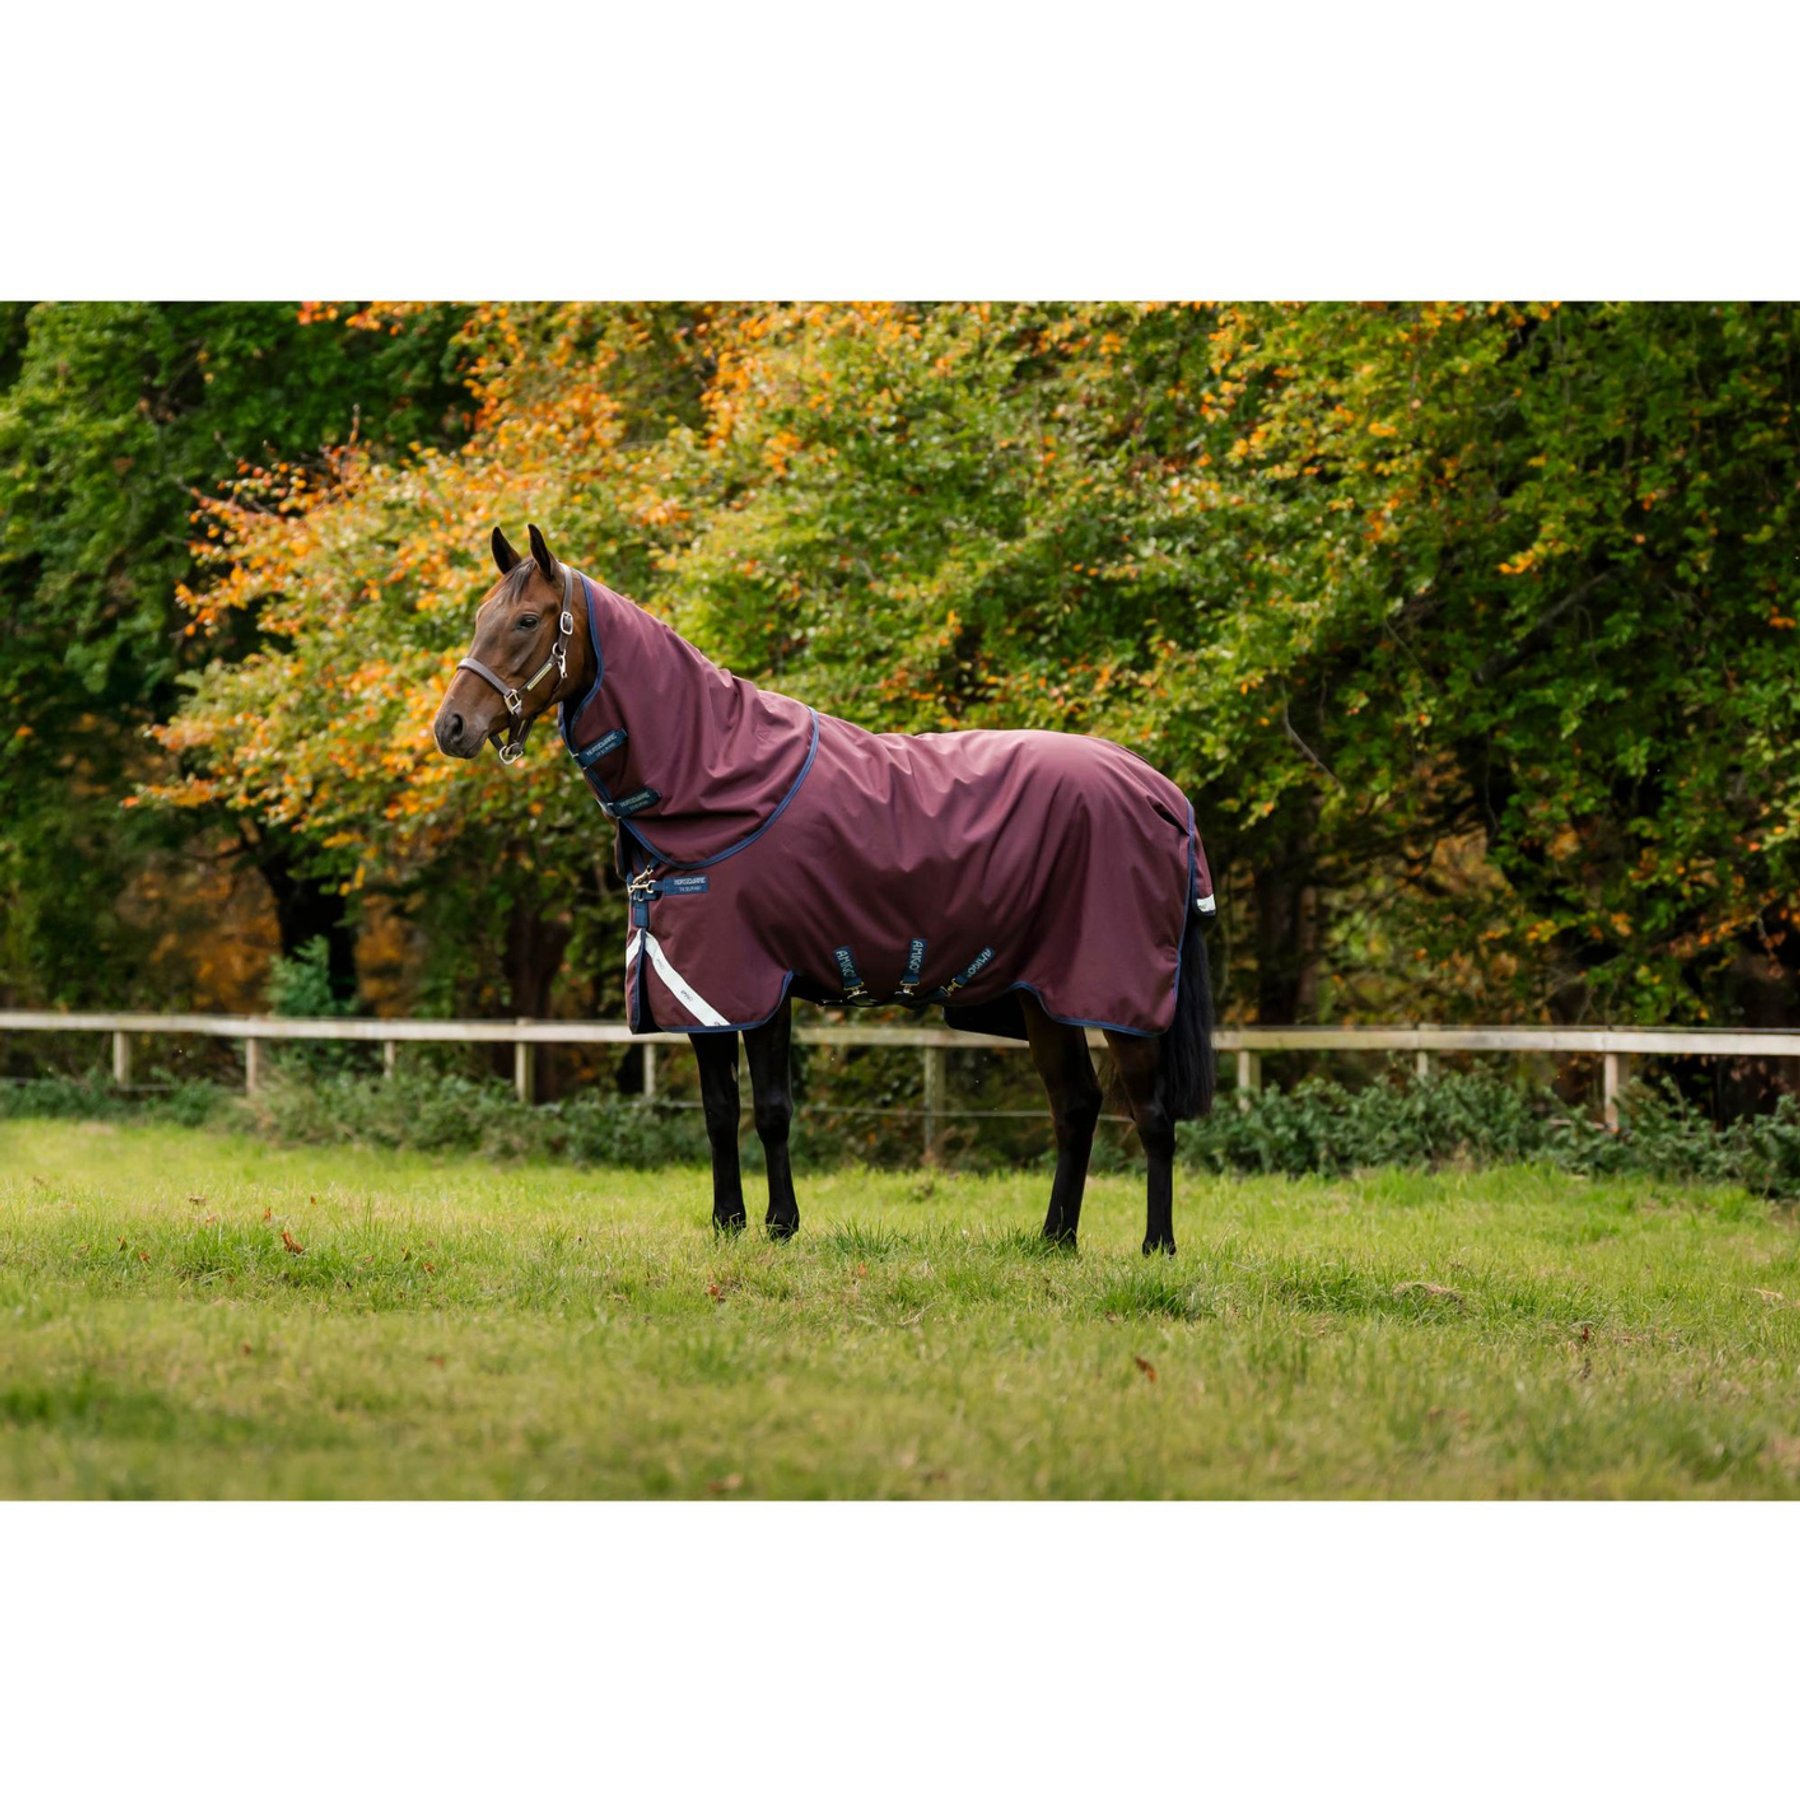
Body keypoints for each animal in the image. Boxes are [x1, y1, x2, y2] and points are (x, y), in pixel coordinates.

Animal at [433, 523, 1216, 1254]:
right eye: (479, 616)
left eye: (526, 621)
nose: (452, 727)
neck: (714, 775)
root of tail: (1161, 792)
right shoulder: (696, 987)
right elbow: (719, 1109)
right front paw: (727, 1223)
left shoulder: (756, 981)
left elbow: (773, 1108)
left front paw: (781, 1224)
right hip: (1044, 997)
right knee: (1075, 1105)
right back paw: (1055, 1240)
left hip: (1118, 996)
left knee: (1151, 1115)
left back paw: (1157, 1246)